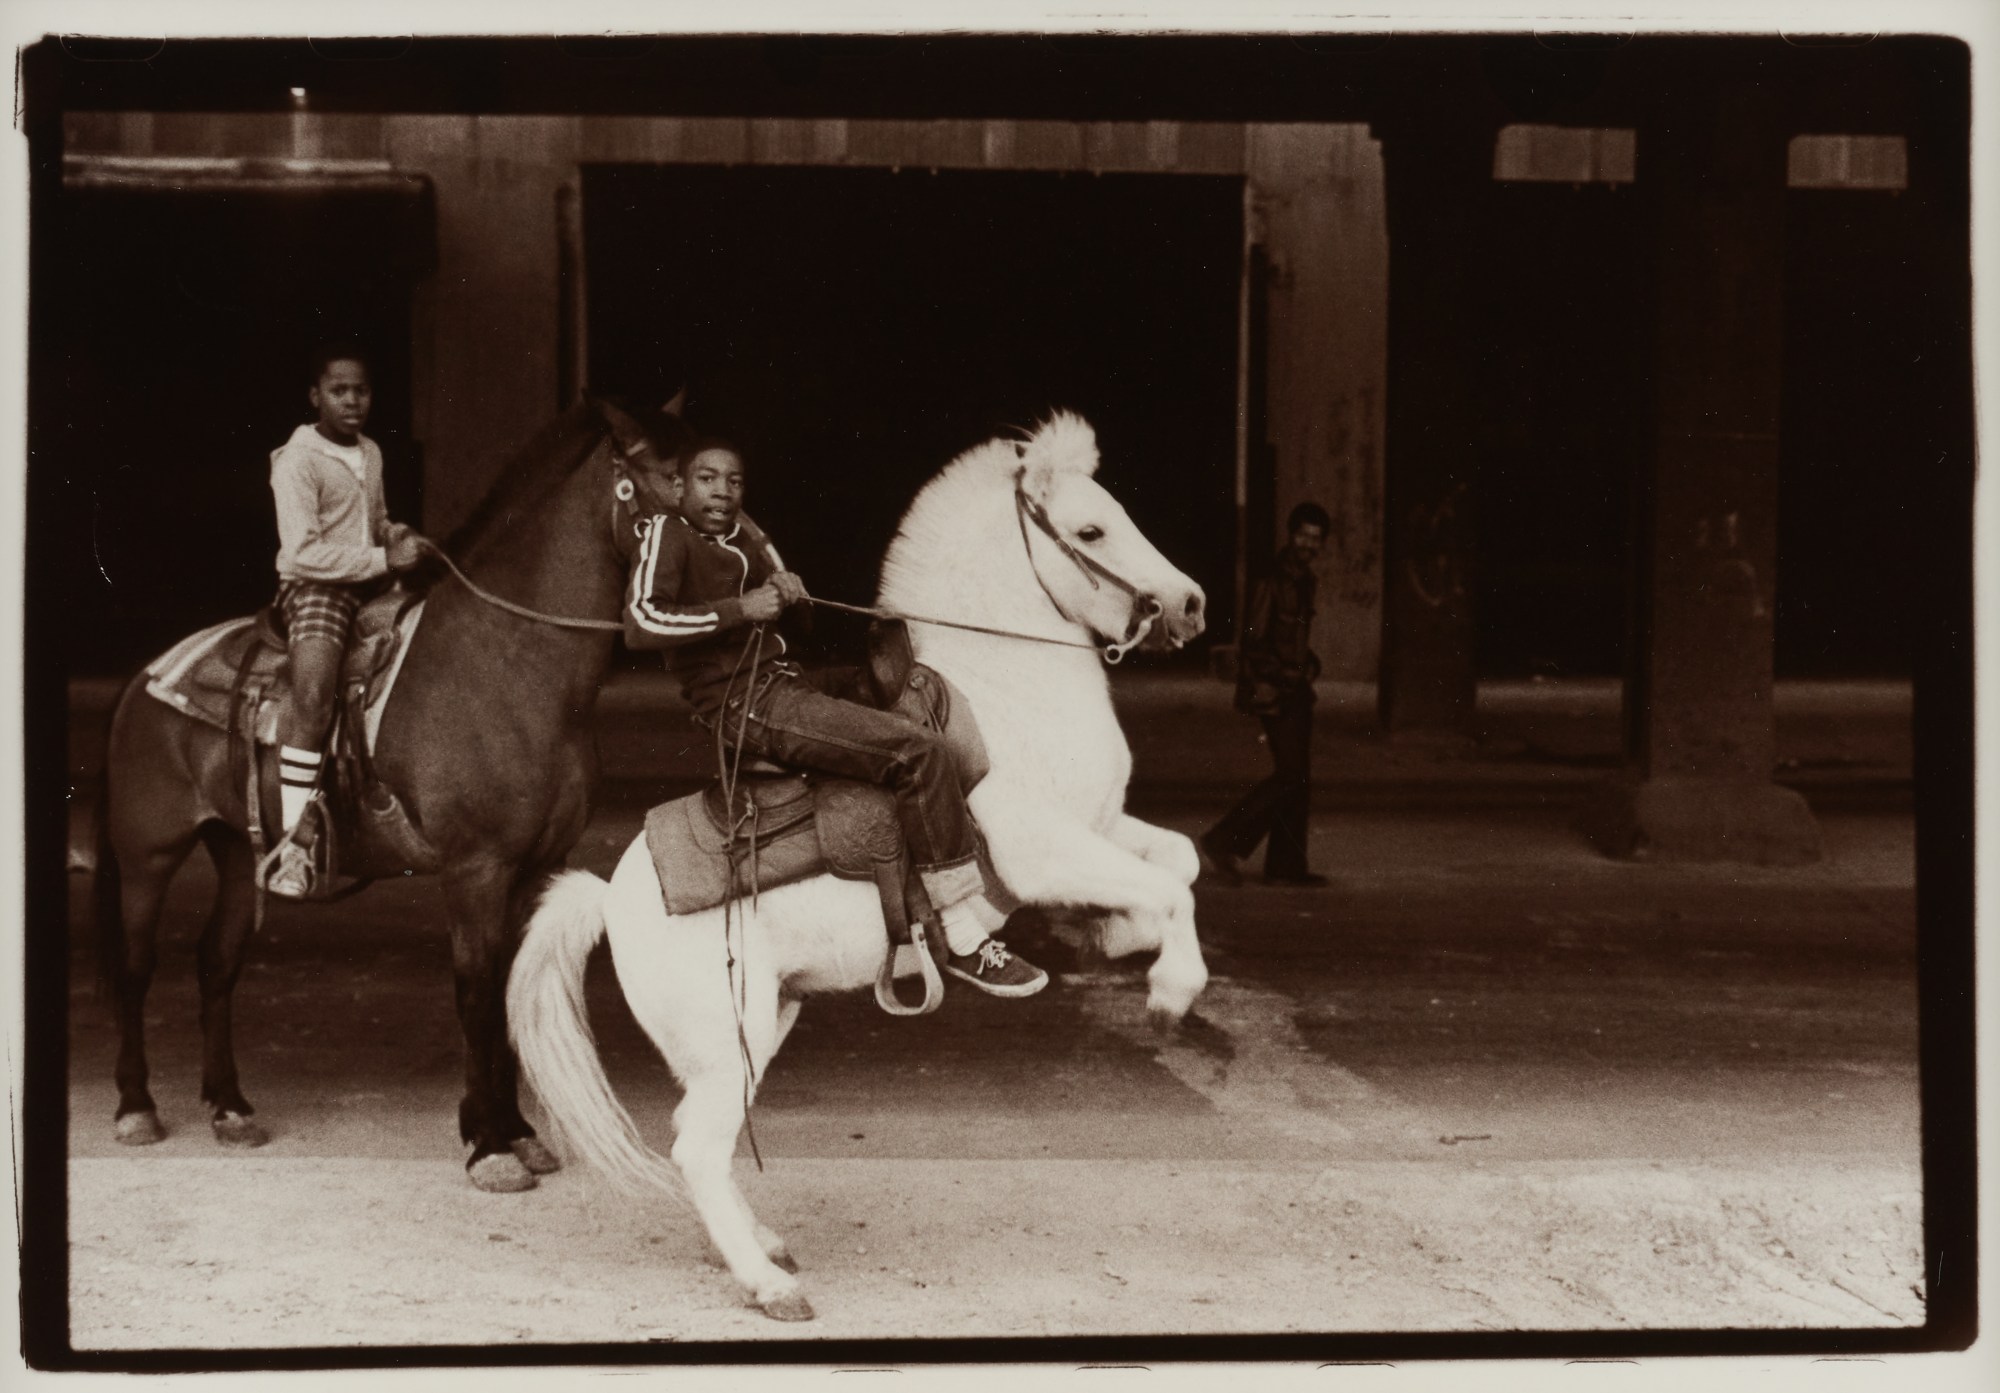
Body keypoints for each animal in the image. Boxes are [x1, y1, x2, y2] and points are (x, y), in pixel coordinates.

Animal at [95, 396, 688, 1192]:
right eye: (668, 480)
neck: (509, 660)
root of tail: (144, 678)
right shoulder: (475, 869)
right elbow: (476, 992)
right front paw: (489, 1146)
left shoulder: (534, 866)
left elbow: (507, 989)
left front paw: (518, 1132)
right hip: (148, 857)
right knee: (135, 970)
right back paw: (136, 1107)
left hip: (236, 854)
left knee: (216, 965)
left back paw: (230, 1106)